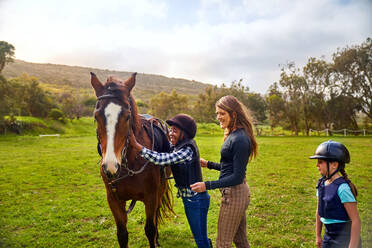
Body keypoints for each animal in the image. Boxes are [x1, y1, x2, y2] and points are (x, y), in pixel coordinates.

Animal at [90, 72, 173, 248]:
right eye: (96, 116)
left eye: (127, 116)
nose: (110, 167)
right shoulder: (114, 200)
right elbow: (122, 234)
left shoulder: (151, 197)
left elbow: (150, 229)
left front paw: (154, 238)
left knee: (156, 216)